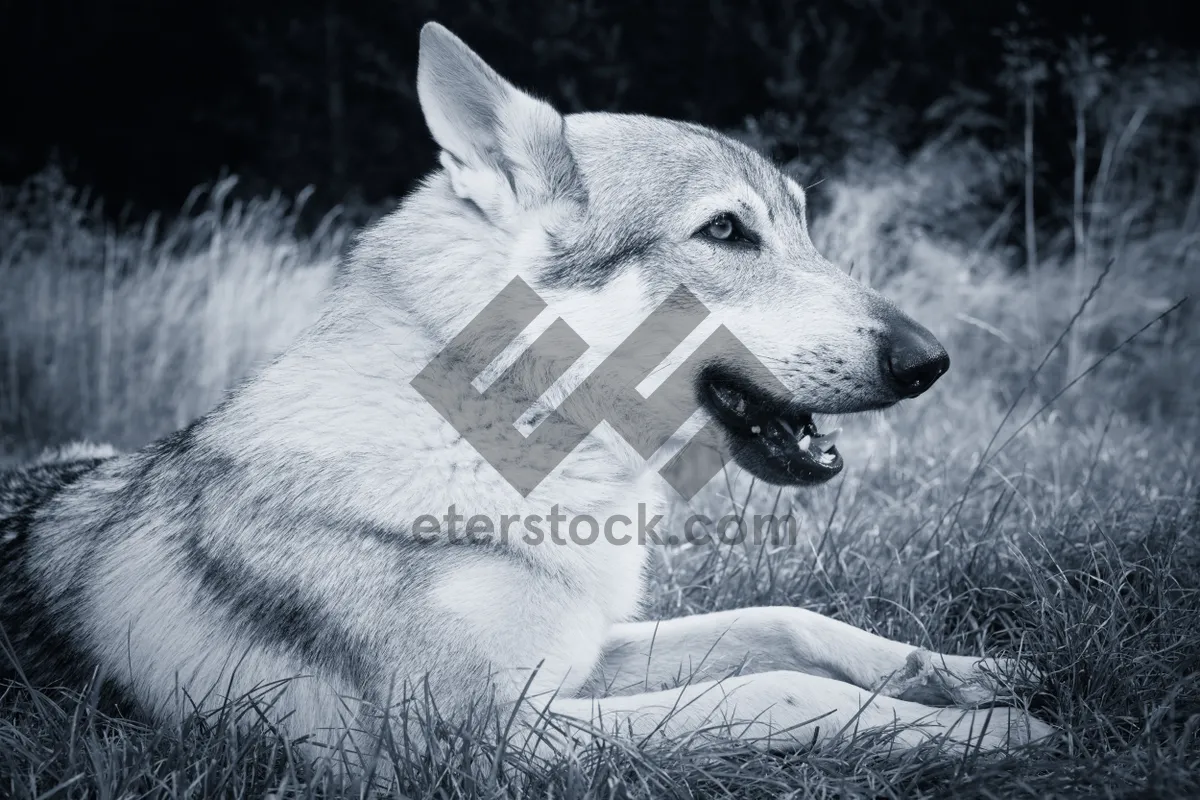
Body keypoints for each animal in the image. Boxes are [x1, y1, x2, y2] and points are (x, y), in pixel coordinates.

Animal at [0, 21, 1051, 772]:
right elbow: (786, 691)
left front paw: (972, 676)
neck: (509, 444)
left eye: (803, 224)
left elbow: (795, 624)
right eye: (726, 232)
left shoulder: (589, 654)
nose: (931, 360)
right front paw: (992, 734)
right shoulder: (477, 736)